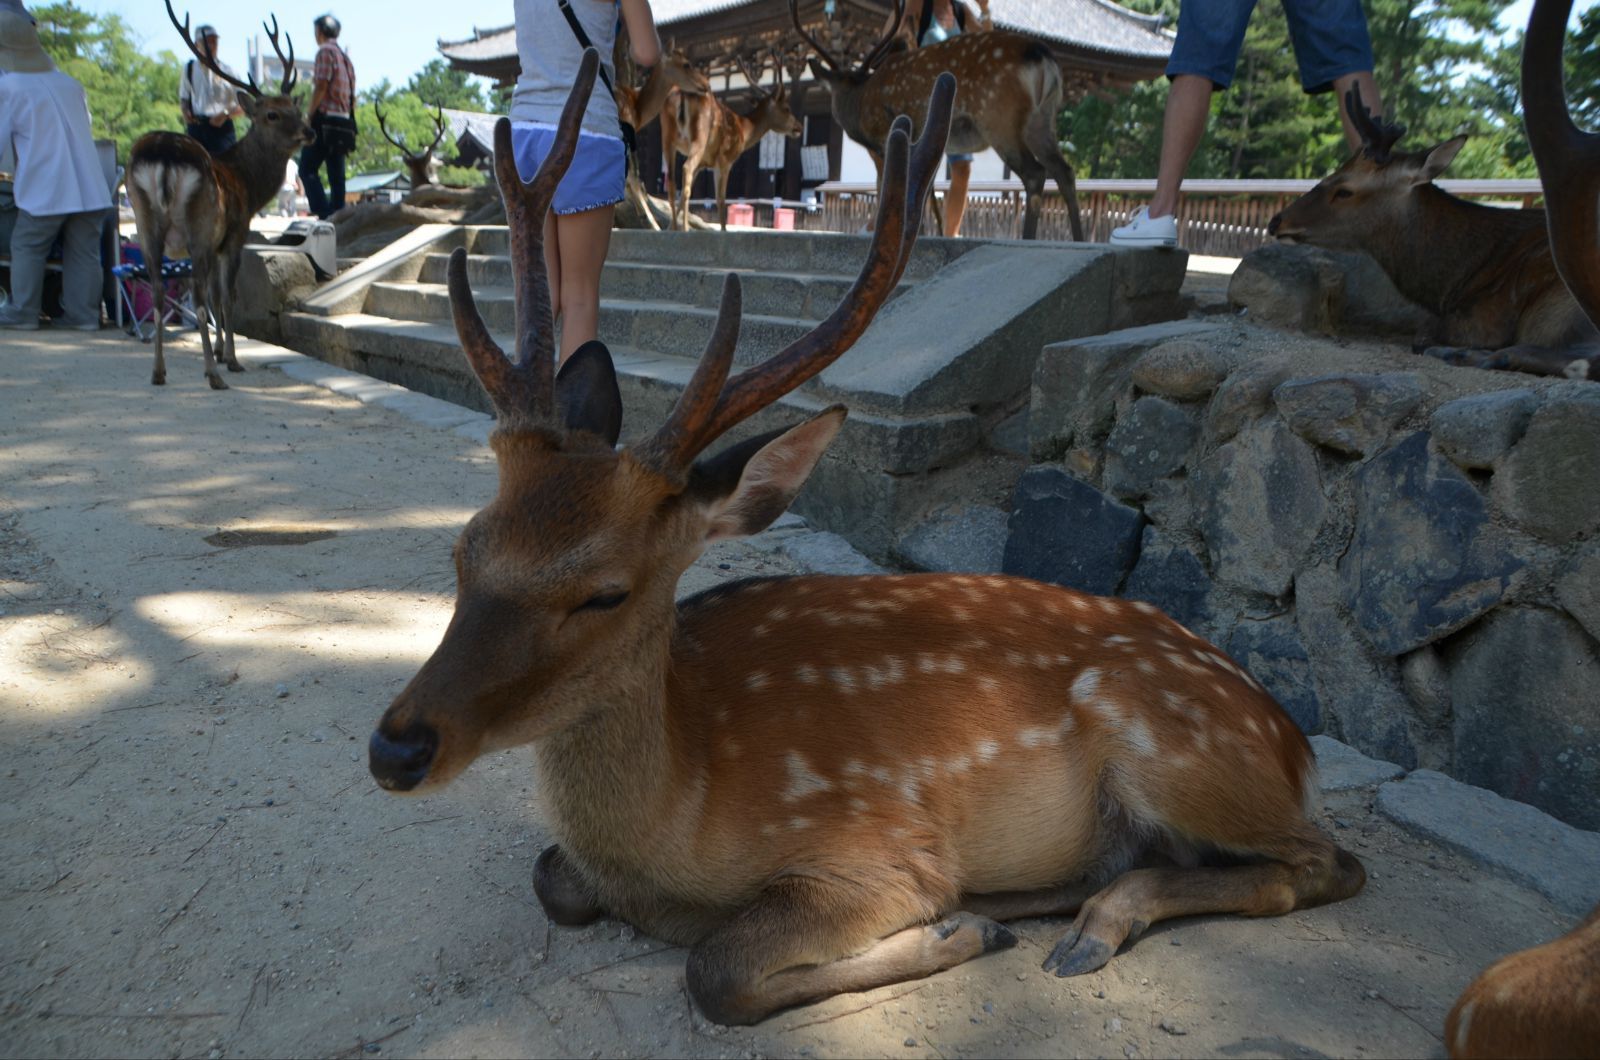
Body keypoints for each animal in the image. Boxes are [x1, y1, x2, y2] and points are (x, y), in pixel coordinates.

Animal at [128, 0, 312, 390]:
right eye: (272, 114)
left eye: (296, 107)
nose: (310, 131)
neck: (249, 183)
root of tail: (165, 155)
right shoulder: (234, 234)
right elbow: (227, 297)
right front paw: (230, 358)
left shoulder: (214, 245)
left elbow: (215, 295)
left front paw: (220, 349)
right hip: (196, 224)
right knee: (196, 296)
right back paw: (213, 374)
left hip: (145, 222)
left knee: (158, 291)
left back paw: (158, 371)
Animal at [656, 49, 800, 230]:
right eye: (787, 108)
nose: (799, 127)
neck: (743, 129)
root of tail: (681, 94)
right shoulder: (725, 160)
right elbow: (721, 200)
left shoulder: (704, 164)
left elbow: (683, 195)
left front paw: (669, 228)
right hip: (699, 137)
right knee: (686, 168)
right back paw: (686, 229)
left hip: (667, 136)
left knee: (672, 181)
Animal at [1267, 87, 1593, 384]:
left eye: (1345, 189)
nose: (1276, 221)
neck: (1449, 283)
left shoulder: (1485, 320)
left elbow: (1424, 335)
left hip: (1565, 308)